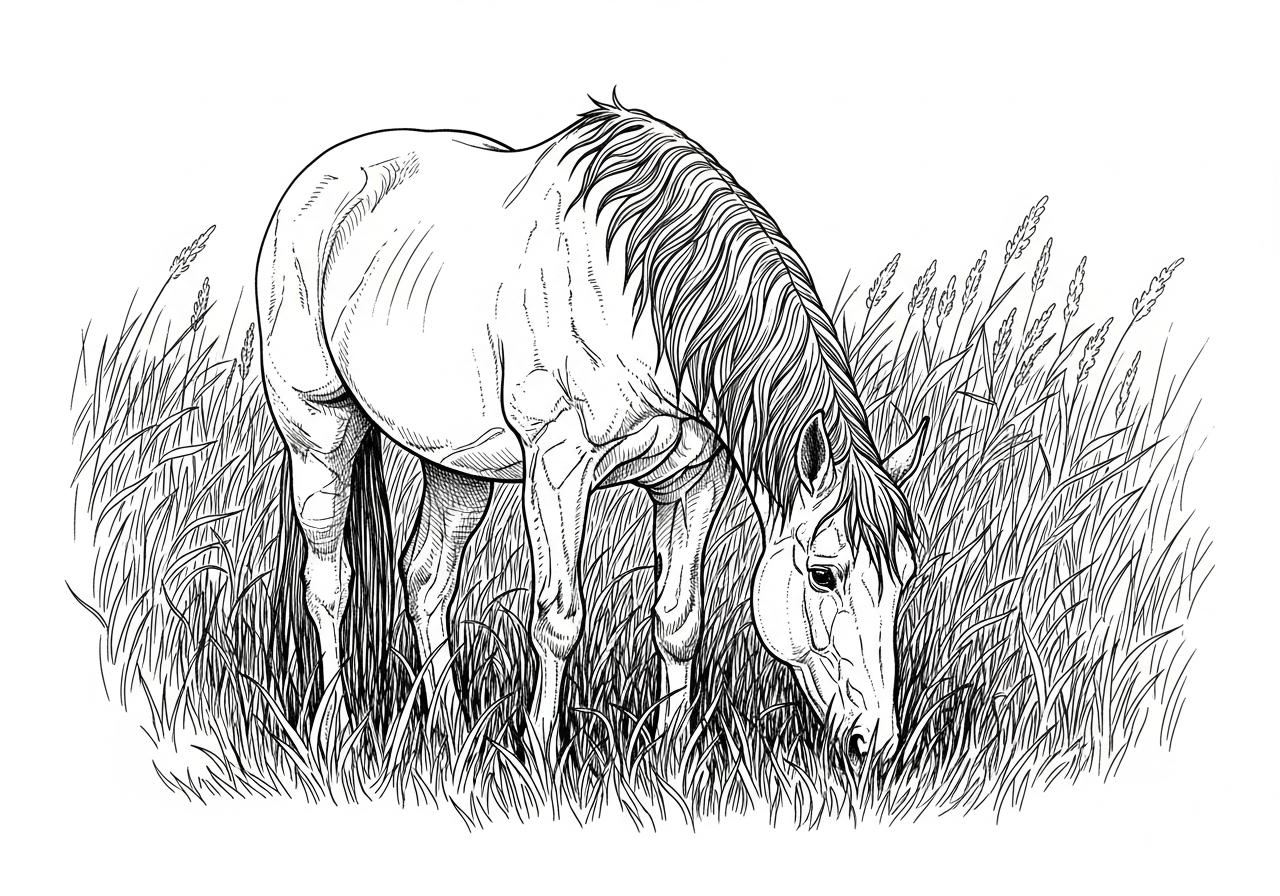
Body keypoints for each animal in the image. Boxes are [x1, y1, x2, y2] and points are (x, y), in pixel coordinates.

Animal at [257, 97, 927, 756]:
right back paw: (333, 730)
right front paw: (540, 756)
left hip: (458, 466)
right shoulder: (557, 469)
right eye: (823, 574)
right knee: (329, 585)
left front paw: (672, 757)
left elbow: (679, 619)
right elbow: (558, 620)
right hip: (320, 433)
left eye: (905, 580)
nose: (881, 745)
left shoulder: (691, 480)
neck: (640, 296)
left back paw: (449, 732)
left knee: (428, 582)